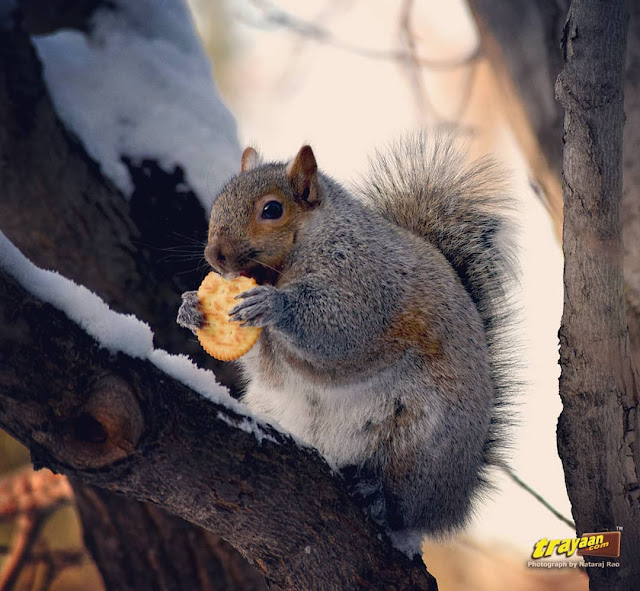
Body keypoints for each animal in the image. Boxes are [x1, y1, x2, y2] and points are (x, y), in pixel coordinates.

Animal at [176, 131, 516, 556]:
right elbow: (268, 368)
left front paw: (275, 305)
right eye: (219, 201)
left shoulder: (368, 283)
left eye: (272, 209)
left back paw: (377, 495)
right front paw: (191, 307)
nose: (214, 255)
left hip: (421, 446)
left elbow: (340, 329)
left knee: (404, 507)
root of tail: (456, 498)